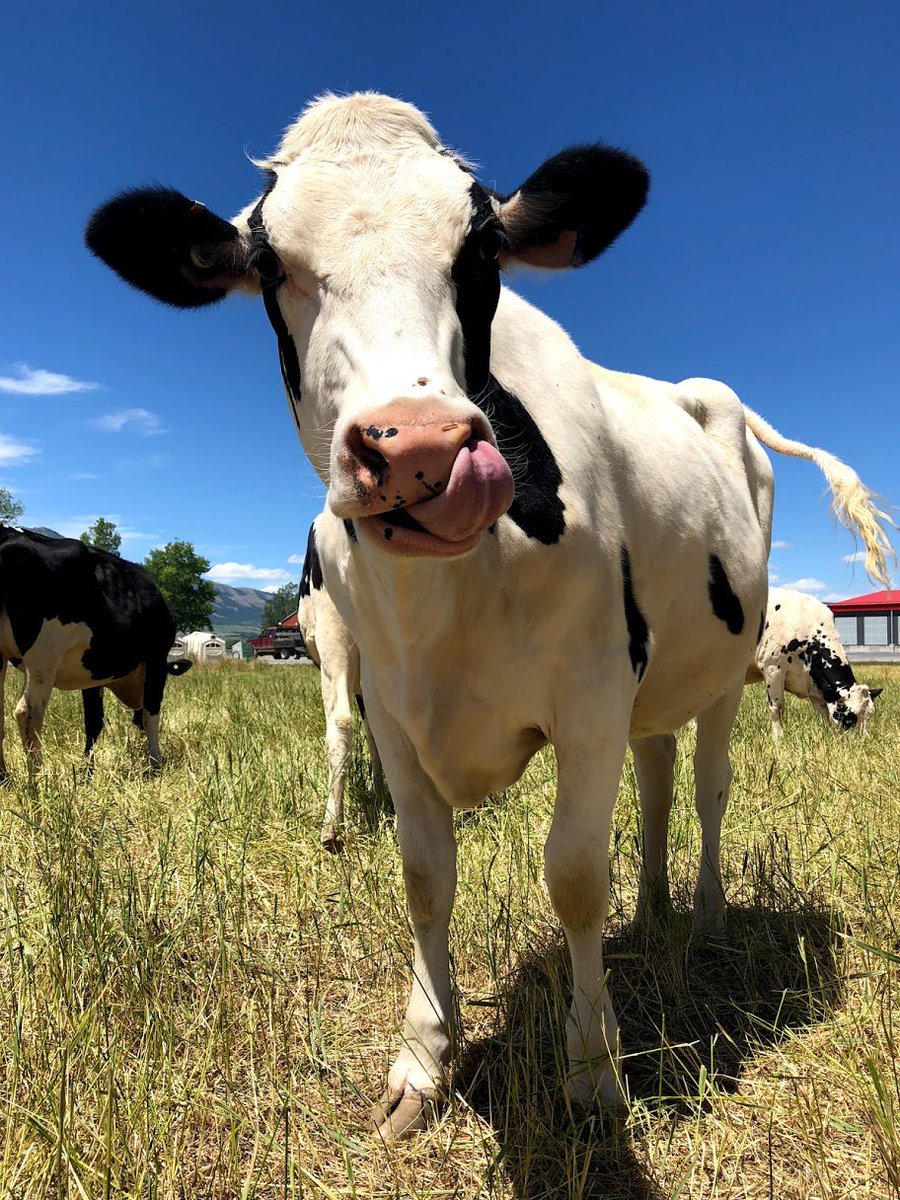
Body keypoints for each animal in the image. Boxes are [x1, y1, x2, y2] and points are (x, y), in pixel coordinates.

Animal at [0, 526, 191, 773]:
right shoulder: (156, 657)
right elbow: (151, 713)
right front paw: (156, 763)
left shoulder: (90, 676)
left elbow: (93, 722)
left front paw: (88, 769)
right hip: (44, 653)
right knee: (28, 712)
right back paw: (38, 775)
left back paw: (4, 775)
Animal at [746, 587, 883, 736]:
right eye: (850, 717)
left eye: (870, 715)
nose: (864, 739)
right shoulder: (772, 668)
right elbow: (777, 706)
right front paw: (778, 736)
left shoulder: (814, 682)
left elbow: (823, 711)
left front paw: (827, 733)